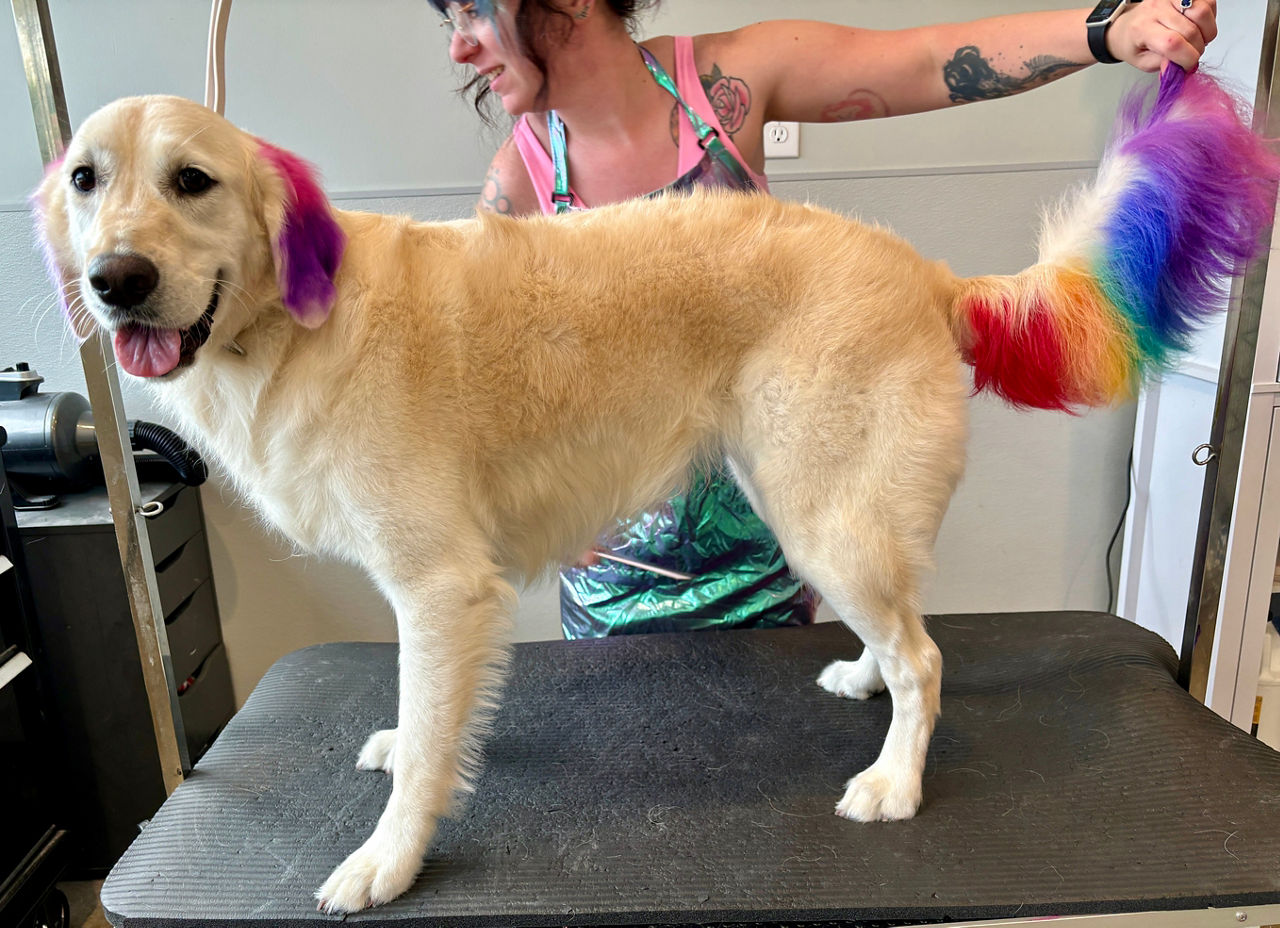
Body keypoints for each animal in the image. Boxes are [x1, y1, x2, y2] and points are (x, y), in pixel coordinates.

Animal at [35, 68, 1274, 906]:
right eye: (86, 181)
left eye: (192, 181)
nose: (114, 278)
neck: (292, 324)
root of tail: (922, 270)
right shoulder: (429, 597)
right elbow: (421, 709)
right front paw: (402, 751)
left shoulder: (441, 585)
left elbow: (431, 743)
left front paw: (389, 856)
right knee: (902, 639)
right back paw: (862, 682)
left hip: (821, 512)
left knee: (926, 658)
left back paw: (893, 779)